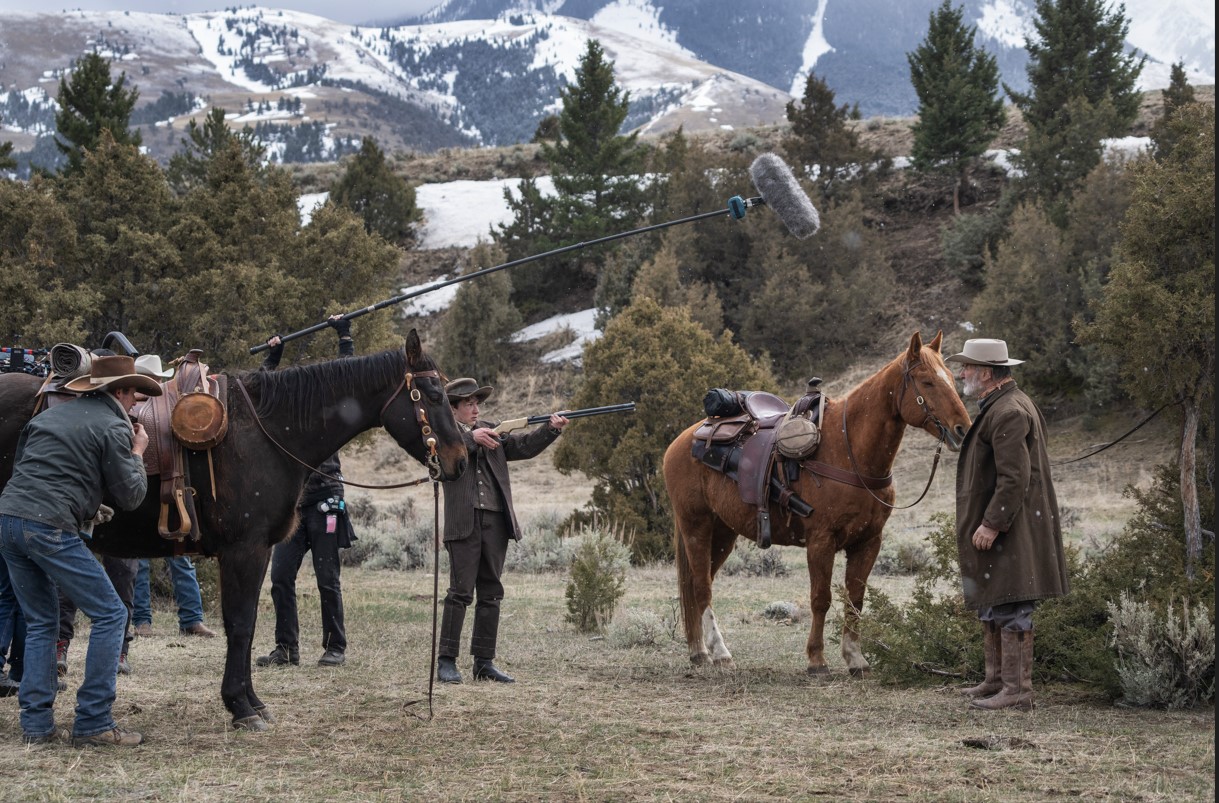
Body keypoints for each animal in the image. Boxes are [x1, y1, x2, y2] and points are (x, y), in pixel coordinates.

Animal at [0, 328, 465, 731]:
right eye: (434, 395)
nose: (460, 460)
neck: (268, 431)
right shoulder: (245, 550)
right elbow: (240, 624)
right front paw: (240, 706)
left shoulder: (259, 552)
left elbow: (249, 624)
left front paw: (252, 701)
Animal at [663, 328, 965, 677]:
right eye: (927, 381)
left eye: (951, 379)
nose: (962, 427)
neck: (849, 451)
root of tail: (680, 441)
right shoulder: (821, 540)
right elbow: (821, 598)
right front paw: (817, 659)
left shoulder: (868, 542)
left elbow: (855, 599)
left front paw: (855, 658)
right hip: (695, 526)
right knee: (701, 587)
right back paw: (720, 653)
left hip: (724, 532)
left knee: (698, 586)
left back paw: (699, 651)